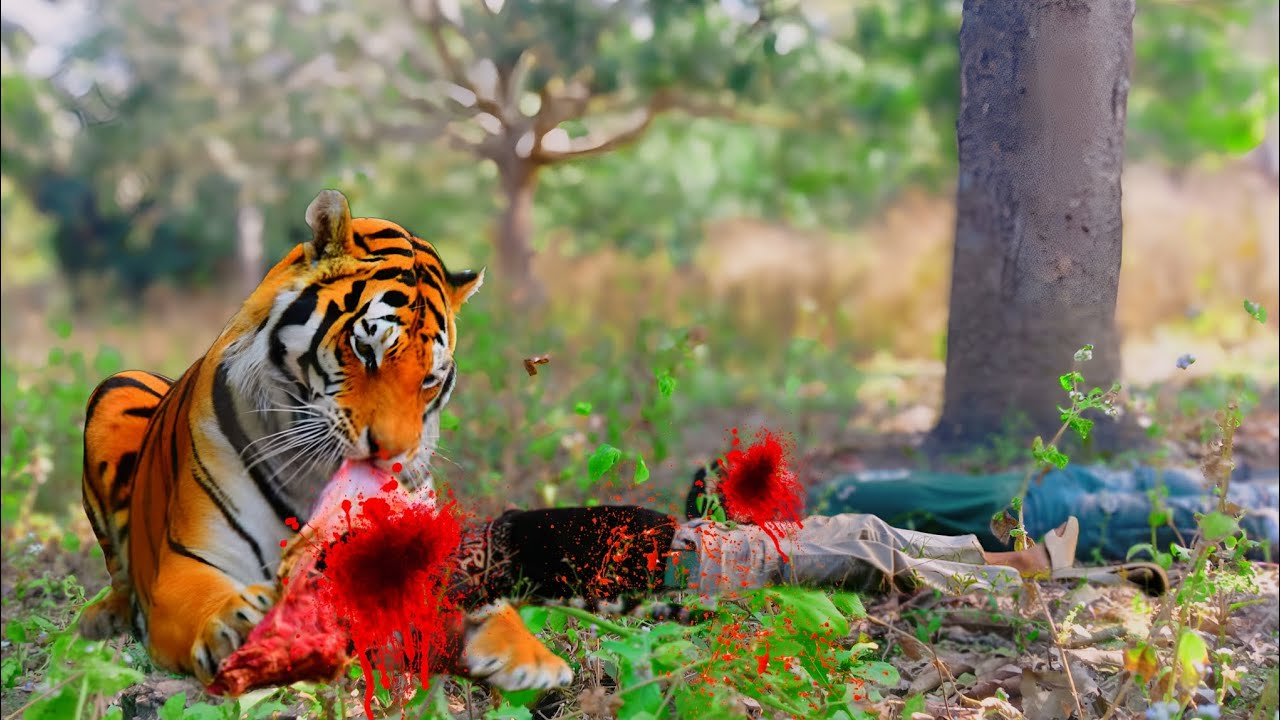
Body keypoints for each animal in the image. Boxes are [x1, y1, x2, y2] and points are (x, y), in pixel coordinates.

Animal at [78, 189, 573, 692]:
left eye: (430, 379)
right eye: (365, 349)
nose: (391, 454)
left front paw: (535, 659)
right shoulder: (187, 565)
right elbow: (203, 601)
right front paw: (237, 621)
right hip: (115, 388)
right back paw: (104, 618)